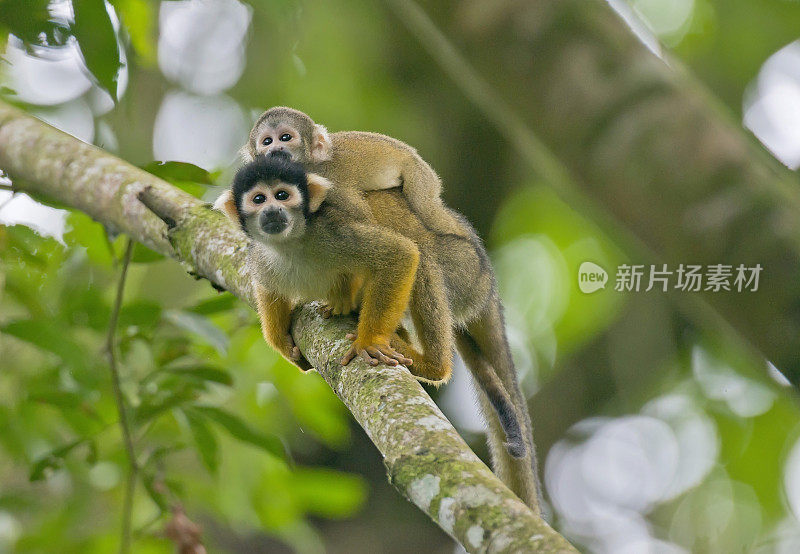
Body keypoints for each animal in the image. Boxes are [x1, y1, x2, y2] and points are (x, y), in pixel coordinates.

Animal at [216, 152, 540, 512]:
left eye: (282, 195)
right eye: (259, 199)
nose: (273, 211)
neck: (291, 245)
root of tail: (486, 277)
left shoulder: (332, 231)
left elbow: (399, 253)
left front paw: (368, 340)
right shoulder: (261, 258)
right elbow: (267, 288)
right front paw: (281, 342)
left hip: (463, 269)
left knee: (421, 251)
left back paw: (431, 364)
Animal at [241, 106, 466, 236]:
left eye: (285, 138)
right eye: (267, 141)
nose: (275, 149)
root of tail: (412, 153)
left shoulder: (333, 184)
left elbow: (362, 218)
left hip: (420, 174)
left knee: (427, 209)